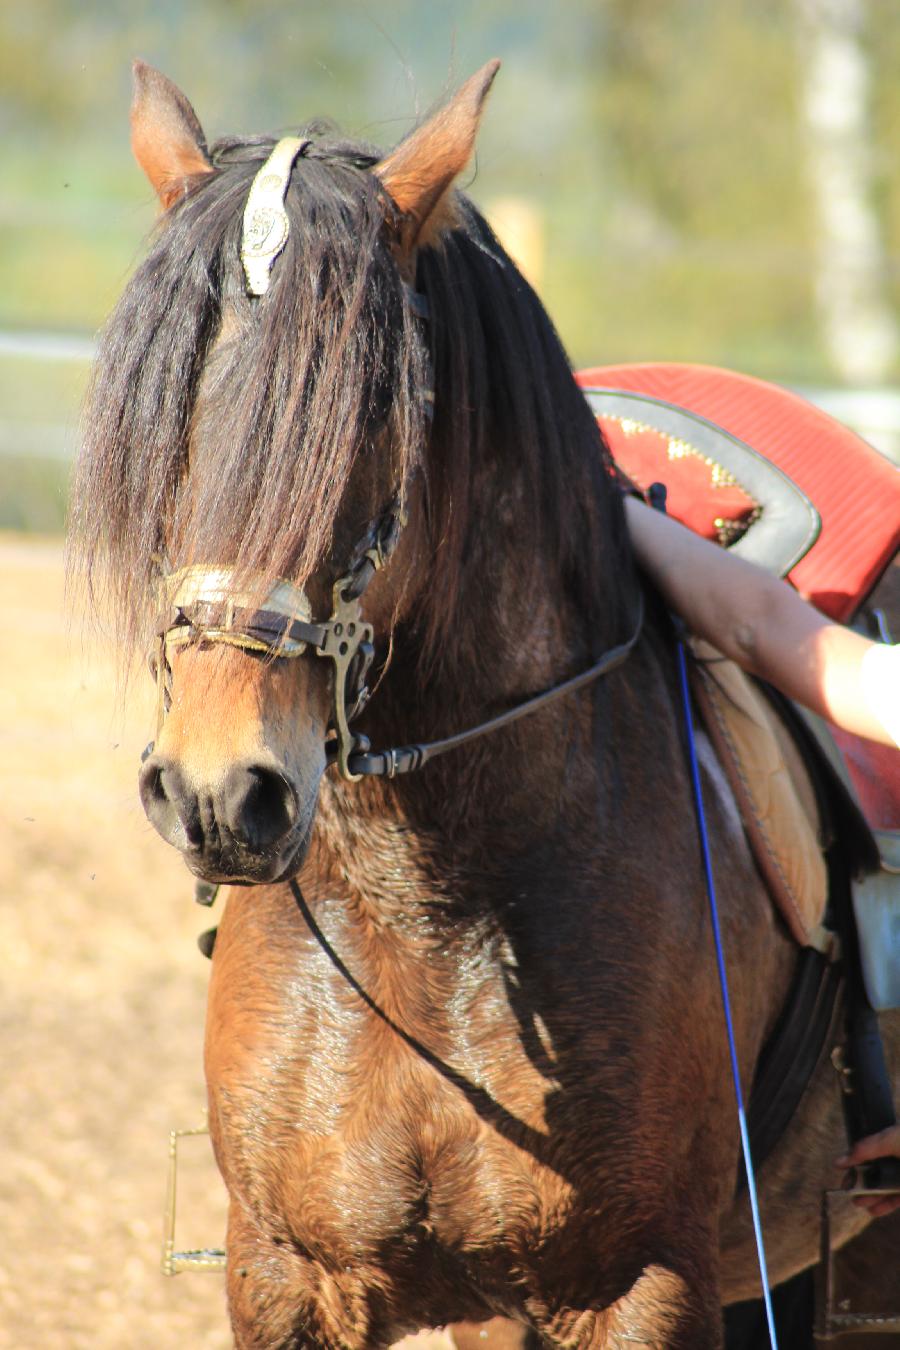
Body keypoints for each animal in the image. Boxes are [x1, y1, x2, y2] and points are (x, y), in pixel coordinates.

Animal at [72, 58, 900, 1344]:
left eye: (367, 418)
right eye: (166, 419)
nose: (216, 791)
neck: (429, 917)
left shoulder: (641, 1287)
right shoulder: (286, 1275)